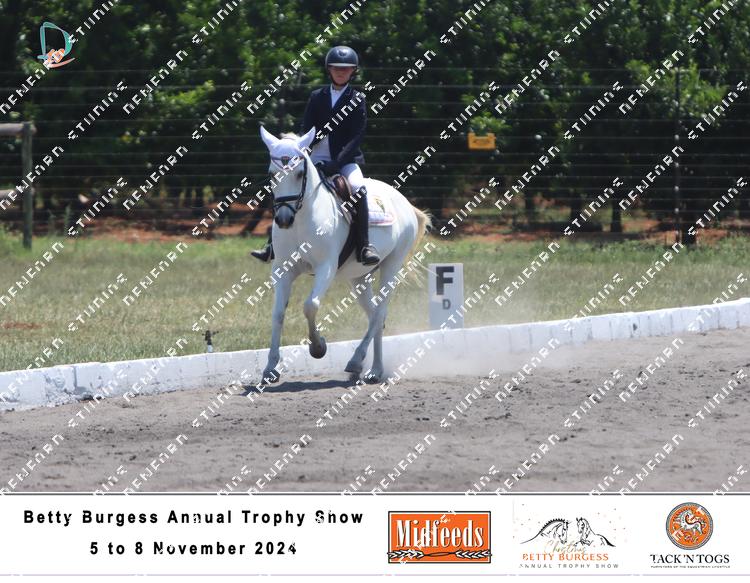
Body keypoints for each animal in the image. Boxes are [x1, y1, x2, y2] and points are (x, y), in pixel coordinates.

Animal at [256, 126, 431, 385]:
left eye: (300, 174)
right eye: (271, 174)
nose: (284, 220)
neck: (301, 219)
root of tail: (405, 202)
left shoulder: (326, 268)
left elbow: (310, 306)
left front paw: (318, 348)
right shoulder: (282, 270)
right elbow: (278, 314)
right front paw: (270, 369)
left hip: (392, 265)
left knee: (379, 313)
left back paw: (361, 363)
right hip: (359, 277)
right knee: (375, 315)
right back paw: (371, 368)